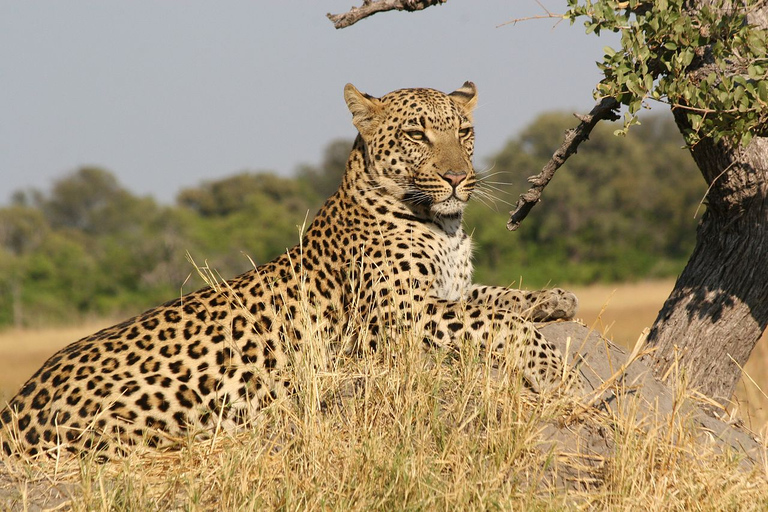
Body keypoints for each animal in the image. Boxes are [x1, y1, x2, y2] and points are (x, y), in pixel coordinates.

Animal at [0, 82, 576, 458]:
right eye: (417, 134)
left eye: (465, 131)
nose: (459, 177)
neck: (443, 226)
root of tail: (16, 404)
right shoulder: (390, 316)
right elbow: (491, 319)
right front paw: (551, 367)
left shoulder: (444, 291)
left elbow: (497, 297)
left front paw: (555, 299)